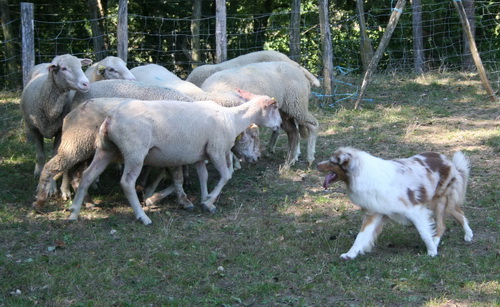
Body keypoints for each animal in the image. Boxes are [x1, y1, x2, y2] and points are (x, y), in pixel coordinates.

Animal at [66, 90, 282, 225]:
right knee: (126, 183)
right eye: (275, 108)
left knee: (87, 175)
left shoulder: (200, 154)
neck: (233, 119)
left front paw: (204, 199)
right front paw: (209, 201)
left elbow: (203, 176)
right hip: (135, 151)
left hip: (106, 148)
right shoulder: (216, 150)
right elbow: (226, 176)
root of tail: (112, 117)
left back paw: (74, 212)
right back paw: (142, 217)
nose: (279, 125)